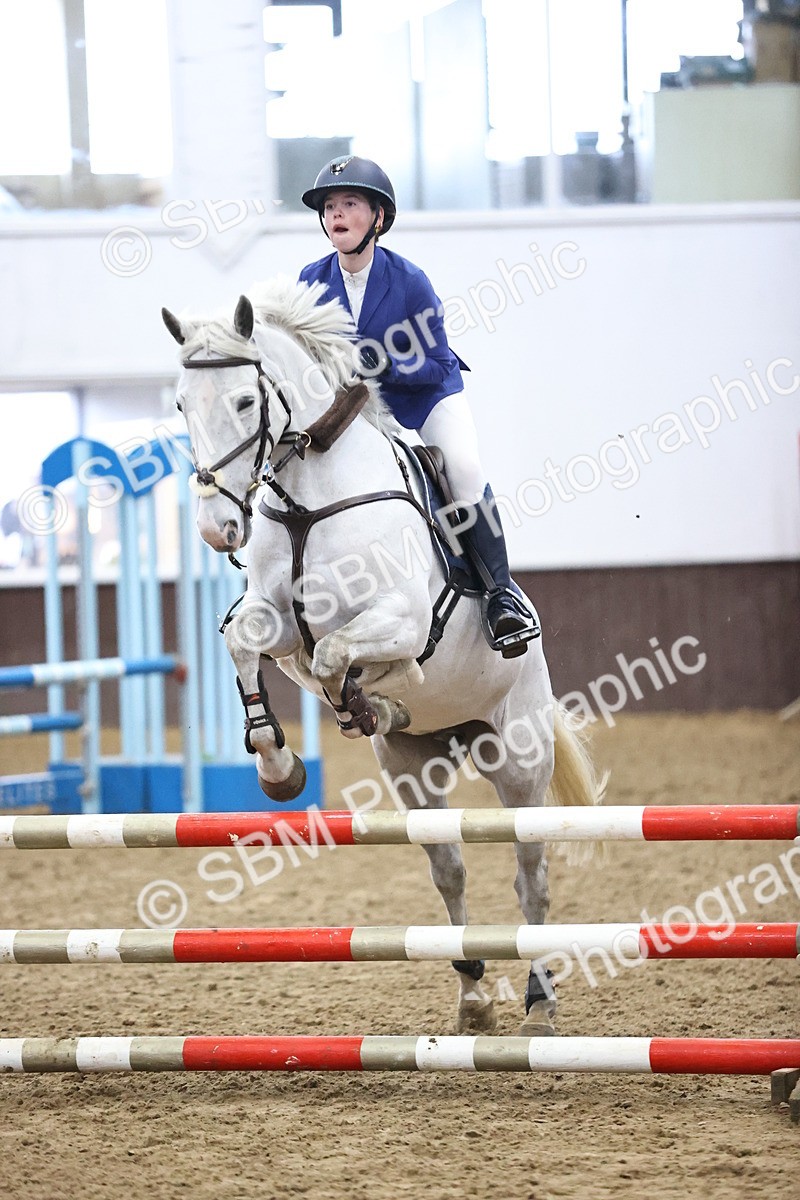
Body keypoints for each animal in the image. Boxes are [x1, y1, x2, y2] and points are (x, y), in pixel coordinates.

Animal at [161, 277, 603, 1036]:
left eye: (246, 402)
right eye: (184, 405)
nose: (217, 529)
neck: (310, 497)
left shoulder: (400, 619)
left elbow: (341, 656)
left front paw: (376, 693)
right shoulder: (275, 622)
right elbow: (254, 644)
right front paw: (279, 766)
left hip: (518, 760)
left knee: (531, 877)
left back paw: (540, 1003)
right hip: (414, 773)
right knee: (449, 868)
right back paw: (473, 998)